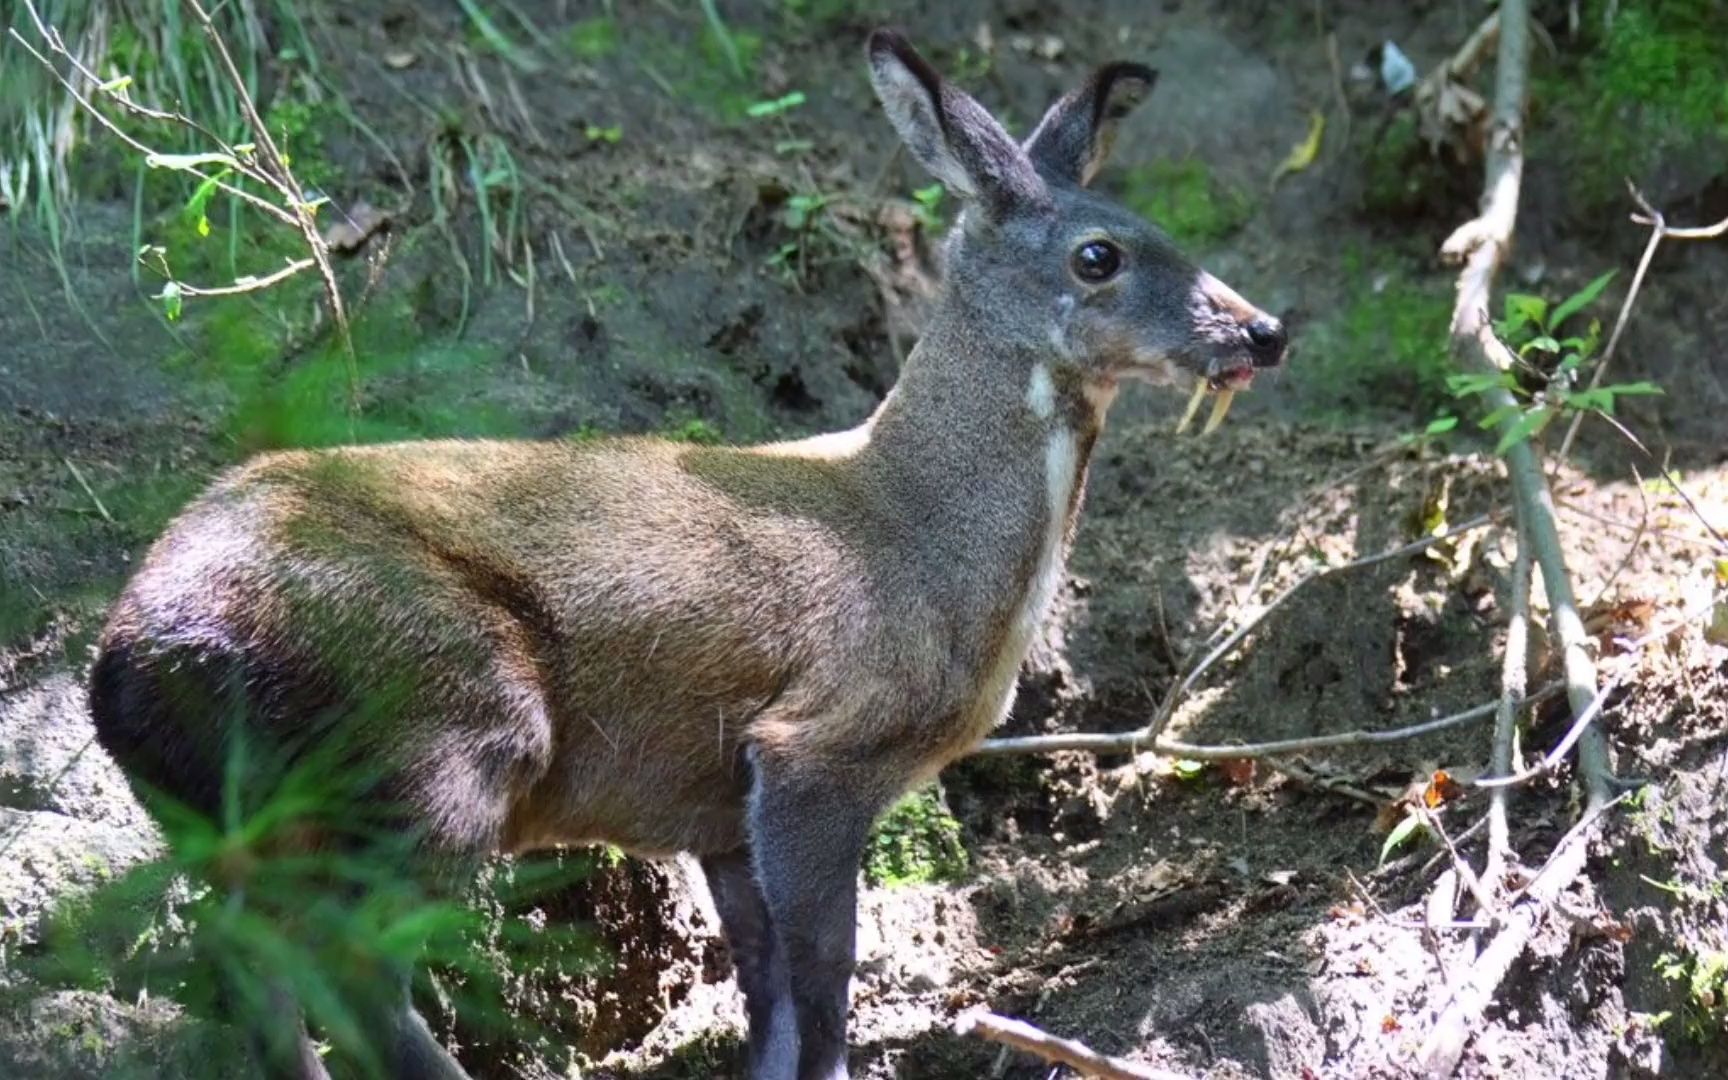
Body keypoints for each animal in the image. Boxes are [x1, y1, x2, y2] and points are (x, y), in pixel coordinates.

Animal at [91, 25, 1285, 1078]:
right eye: (1100, 255)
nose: (1263, 330)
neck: (926, 547)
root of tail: (124, 658)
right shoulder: (817, 744)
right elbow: (825, 976)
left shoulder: (718, 802)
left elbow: (768, 990)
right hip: (434, 723)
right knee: (344, 963)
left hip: (243, 814)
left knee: (249, 958)